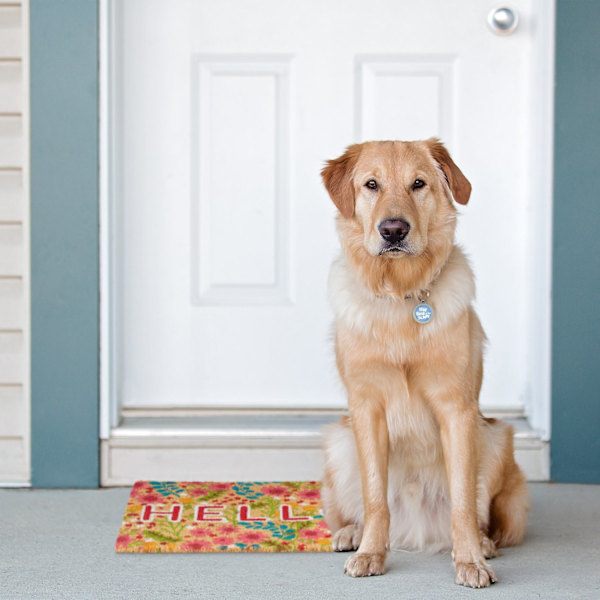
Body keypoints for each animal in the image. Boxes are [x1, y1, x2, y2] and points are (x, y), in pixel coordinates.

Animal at [322, 139, 528, 584]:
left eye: (418, 184)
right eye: (371, 184)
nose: (393, 230)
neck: (401, 296)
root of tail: (417, 529)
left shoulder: (457, 409)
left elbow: (463, 501)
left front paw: (470, 560)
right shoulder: (366, 408)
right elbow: (375, 497)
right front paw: (371, 553)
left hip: (495, 437)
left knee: (483, 515)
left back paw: (483, 543)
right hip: (338, 441)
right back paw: (351, 533)